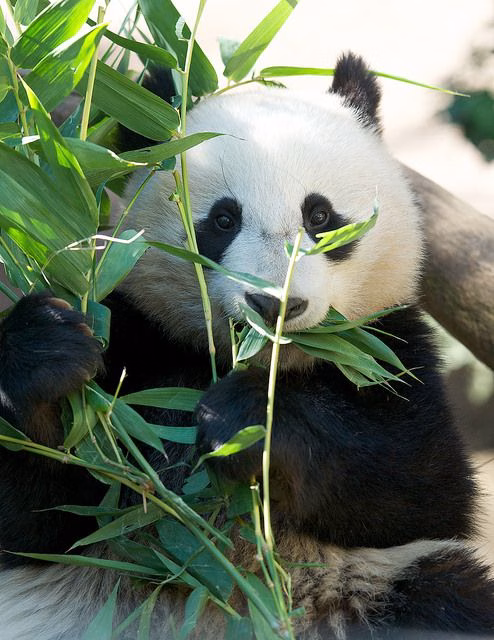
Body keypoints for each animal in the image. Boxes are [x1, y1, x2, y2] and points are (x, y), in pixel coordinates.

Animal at [0, 53, 494, 640]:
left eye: (319, 216)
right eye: (222, 219)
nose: (274, 304)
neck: (261, 357)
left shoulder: (389, 352)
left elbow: (420, 484)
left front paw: (248, 418)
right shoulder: (137, 338)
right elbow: (39, 516)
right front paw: (43, 350)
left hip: (377, 586)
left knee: (449, 597)